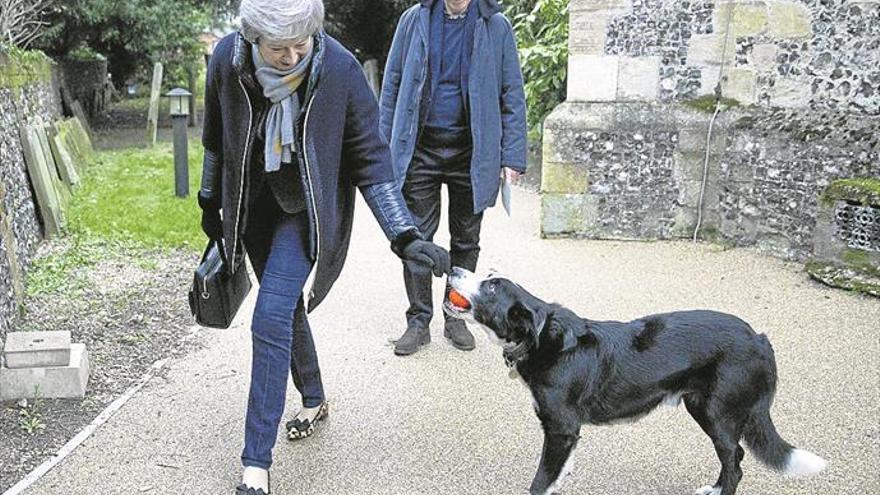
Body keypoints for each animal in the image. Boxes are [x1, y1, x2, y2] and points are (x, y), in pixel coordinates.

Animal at [444, 270, 828, 494]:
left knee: (733, 461)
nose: (455, 269)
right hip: (703, 407)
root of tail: (758, 338)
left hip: (719, 412)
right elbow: (557, 474)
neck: (540, 338)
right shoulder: (566, 434)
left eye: (492, 285)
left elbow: (540, 480)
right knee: (734, 456)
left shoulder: (561, 428)